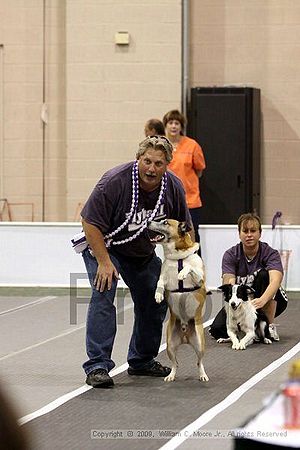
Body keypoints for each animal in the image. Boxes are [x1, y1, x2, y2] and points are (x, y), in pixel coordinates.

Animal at [148, 220, 209, 382]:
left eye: (165, 222)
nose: (148, 221)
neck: (178, 258)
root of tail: (185, 336)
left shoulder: (200, 280)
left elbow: (189, 267)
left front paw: (182, 273)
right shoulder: (163, 275)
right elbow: (160, 282)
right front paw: (158, 295)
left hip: (200, 344)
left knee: (199, 362)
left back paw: (203, 375)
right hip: (170, 345)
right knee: (175, 363)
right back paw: (171, 376)